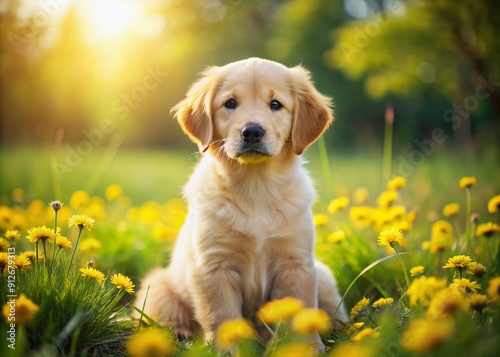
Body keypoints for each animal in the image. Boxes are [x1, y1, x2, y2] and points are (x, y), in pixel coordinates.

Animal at [135, 57, 350, 350]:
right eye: (230, 103)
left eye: (275, 104)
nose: (252, 132)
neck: (255, 187)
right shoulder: (214, 267)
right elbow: (222, 317)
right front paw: (226, 350)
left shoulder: (296, 262)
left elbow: (301, 310)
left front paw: (308, 348)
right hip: (158, 286)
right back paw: (179, 333)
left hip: (324, 275)